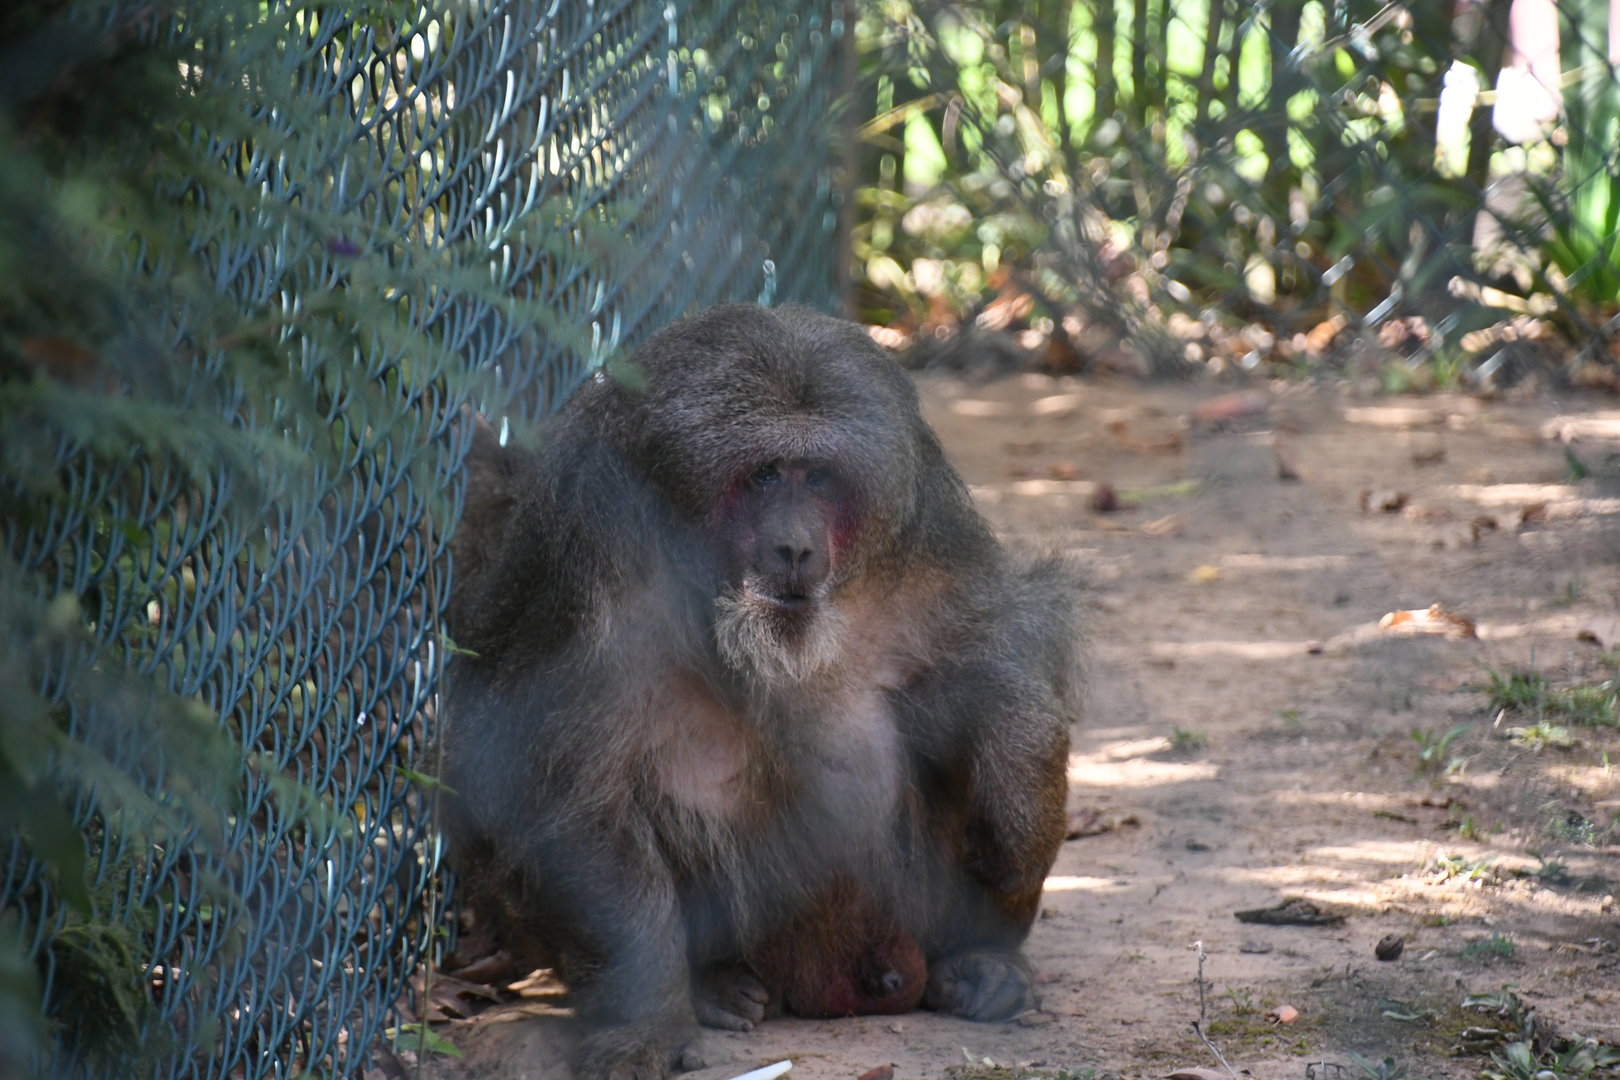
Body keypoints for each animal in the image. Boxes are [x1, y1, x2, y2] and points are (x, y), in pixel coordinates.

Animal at [441, 304, 1082, 1080]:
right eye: (766, 476)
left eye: (820, 478)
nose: (796, 546)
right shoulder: (582, 541)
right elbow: (556, 781)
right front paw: (644, 1022)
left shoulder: (923, 515)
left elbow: (1000, 635)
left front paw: (1021, 776)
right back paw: (711, 985)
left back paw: (985, 957)